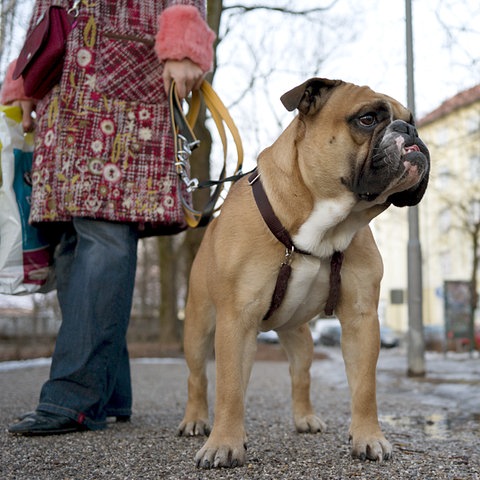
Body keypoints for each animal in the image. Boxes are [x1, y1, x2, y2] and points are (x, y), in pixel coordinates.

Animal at [177, 78, 432, 468]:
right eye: (368, 119)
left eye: (412, 119)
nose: (410, 131)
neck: (324, 226)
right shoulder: (236, 318)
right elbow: (229, 386)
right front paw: (223, 444)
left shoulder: (361, 318)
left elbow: (364, 386)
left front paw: (369, 438)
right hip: (199, 324)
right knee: (198, 376)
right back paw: (196, 420)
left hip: (299, 336)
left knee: (300, 375)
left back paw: (305, 418)